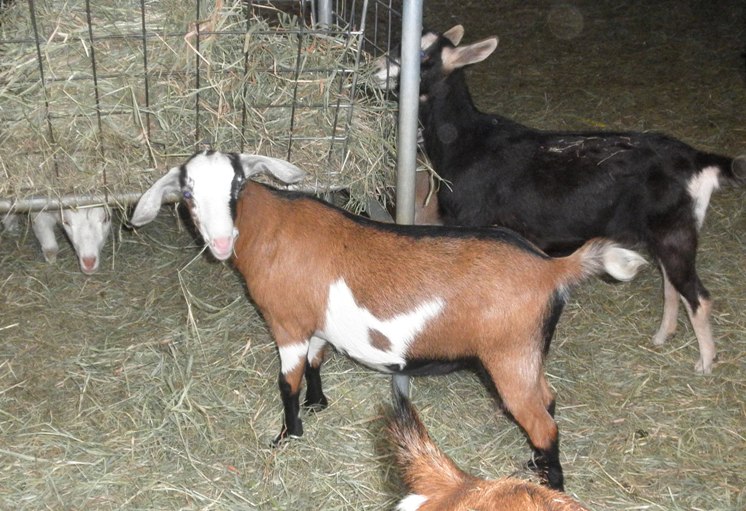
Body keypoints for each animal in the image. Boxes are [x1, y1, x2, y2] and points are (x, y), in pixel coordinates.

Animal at [130, 150, 646, 490]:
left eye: (237, 186)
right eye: (188, 193)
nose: (219, 243)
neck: (270, 229)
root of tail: (552, 269)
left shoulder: (287, 324)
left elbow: (287, 382)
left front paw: (287, 435)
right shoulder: (316, 326)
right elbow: (316, 363)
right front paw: (318, 406)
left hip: (509, 358)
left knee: (543, 424)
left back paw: (552, 486)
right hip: (528, 355)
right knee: (549, 400)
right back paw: (536, 470)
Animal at [375, 25, 744, 374]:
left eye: (422, 56)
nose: (377, 68)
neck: (467, 141)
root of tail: (697, 160)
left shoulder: (470, 219)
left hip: (675, 231)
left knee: (697, 295)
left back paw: (705, 362)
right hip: (662, 232)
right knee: (671, 284)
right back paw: (662, 335)